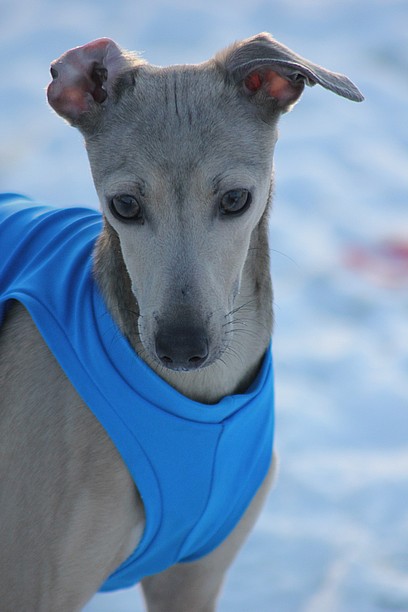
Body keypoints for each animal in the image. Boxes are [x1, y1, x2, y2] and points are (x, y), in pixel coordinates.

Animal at [0, 33, 364, 612]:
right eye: (125, 204)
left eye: (235, 199)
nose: (181, 347)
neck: (199, 401)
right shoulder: (31, 584)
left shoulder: (194, 577)